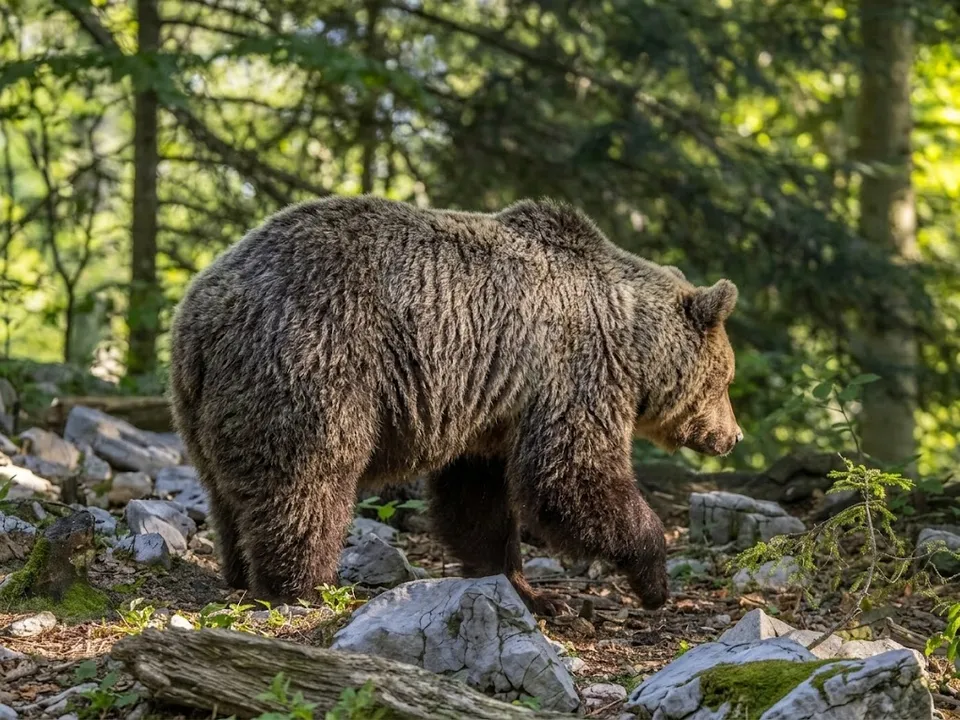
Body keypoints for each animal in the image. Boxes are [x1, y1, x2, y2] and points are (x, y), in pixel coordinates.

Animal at [168, 195, 742, 615]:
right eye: (726, 380)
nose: (732, 436)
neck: (626, 337)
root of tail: (202, 315)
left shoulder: (490, 408)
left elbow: (477, 503)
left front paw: (530, 592)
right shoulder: (571, 375)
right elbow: (572, 479)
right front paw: (654, 580)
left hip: (204, 403)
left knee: (226, 490)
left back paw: (238, 570)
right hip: (316, 364)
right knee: (308, 481)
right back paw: (301, 585)